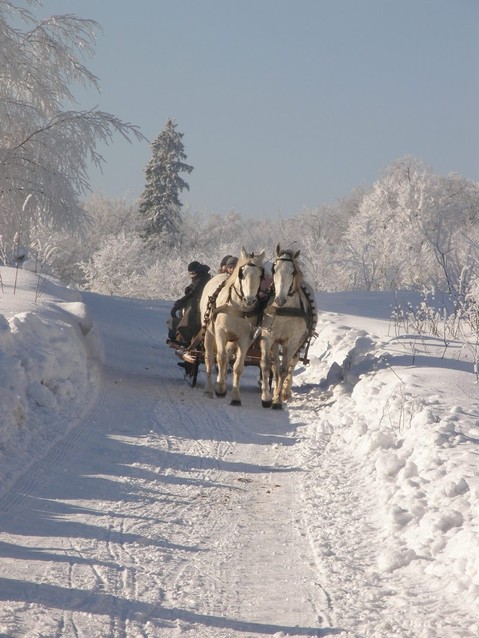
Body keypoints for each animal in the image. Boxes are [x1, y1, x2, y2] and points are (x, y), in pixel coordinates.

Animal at [201, 248, 264, 408]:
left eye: (261, 274)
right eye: (242, 273)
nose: (250, 300)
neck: (238, 308)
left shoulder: (245, 339)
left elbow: (238, 366)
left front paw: (235, 397)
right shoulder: (220, 333)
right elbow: (221, 358)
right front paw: (220, 389)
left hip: (232, 340)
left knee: (228, 356)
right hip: (209, 334)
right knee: (210, 359)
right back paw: (209, 389)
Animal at [260, 245, 316, 410]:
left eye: (293, 271)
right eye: (274, 269)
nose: (280, 299)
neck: (284, 309)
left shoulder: (292, 341)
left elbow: (285, 369)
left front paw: (277, 401)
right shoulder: (268, 336)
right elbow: (266, 365)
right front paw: (266, 397)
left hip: (299, 343)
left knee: (291, 363)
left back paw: (285, 391)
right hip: (276, 342)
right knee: (276, 366)